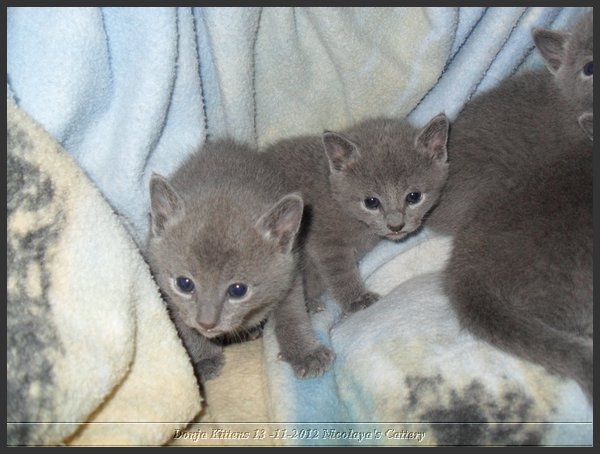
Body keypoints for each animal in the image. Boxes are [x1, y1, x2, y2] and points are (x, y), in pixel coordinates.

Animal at [145, 140, 332, 382]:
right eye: (184, 284)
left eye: (238, 290)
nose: (207, 322)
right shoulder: (166, 292)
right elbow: (183, 325)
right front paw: (203, 358)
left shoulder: (289, 272)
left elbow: (292, 312)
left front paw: (305, 353)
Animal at [264, 112, 448, 316]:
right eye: (371, 202)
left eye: (414, 197)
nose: (396, 225)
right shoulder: (325, 242)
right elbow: (340, 272)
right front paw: (358, 299)